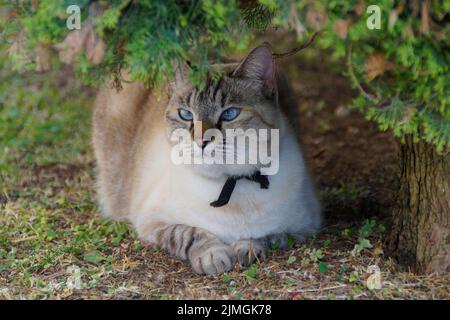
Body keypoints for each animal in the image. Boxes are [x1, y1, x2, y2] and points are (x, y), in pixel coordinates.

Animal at [93, 43, 322, 276]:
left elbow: (264, 236)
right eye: (186, 115)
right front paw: (213, 256)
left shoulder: (304, 227)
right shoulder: (152, 222)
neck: (231, 183)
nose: (200, 141)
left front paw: (245, 249)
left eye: (229, 114)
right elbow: (189, 233)